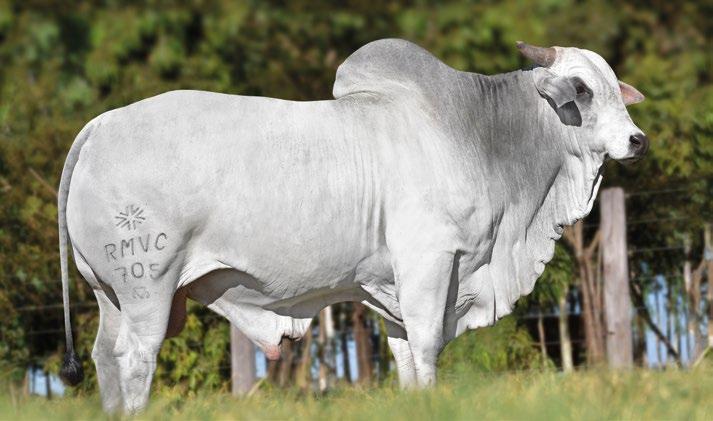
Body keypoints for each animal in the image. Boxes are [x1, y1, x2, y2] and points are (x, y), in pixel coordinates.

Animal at [55, 37, 644, 412]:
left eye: (615, 86)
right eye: (582, 89)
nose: (637, 140)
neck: (481, 134)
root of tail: (100, 124)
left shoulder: (388, 289)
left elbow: (405, 355)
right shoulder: (428, 264)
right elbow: (427, 345)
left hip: (112, 295)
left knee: (105, 358)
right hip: (147, 286)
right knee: (135, 359)